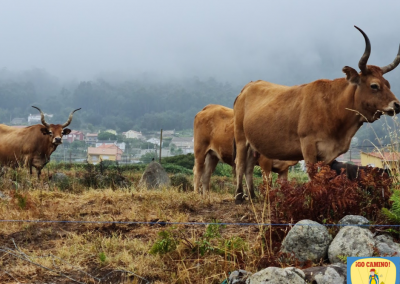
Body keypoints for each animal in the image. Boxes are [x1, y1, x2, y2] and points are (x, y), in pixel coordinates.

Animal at [231, 26, 400, 203]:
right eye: (374, 85)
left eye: (388, 84)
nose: (397, 105)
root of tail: (249, 86)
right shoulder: (308, 145)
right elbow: (313, 178)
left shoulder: (329, 155)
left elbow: (322, 178)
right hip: (241, 137)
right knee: (240, 164)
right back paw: (239, 196)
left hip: (252, 143)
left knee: (249, 167)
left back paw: (252, 196)